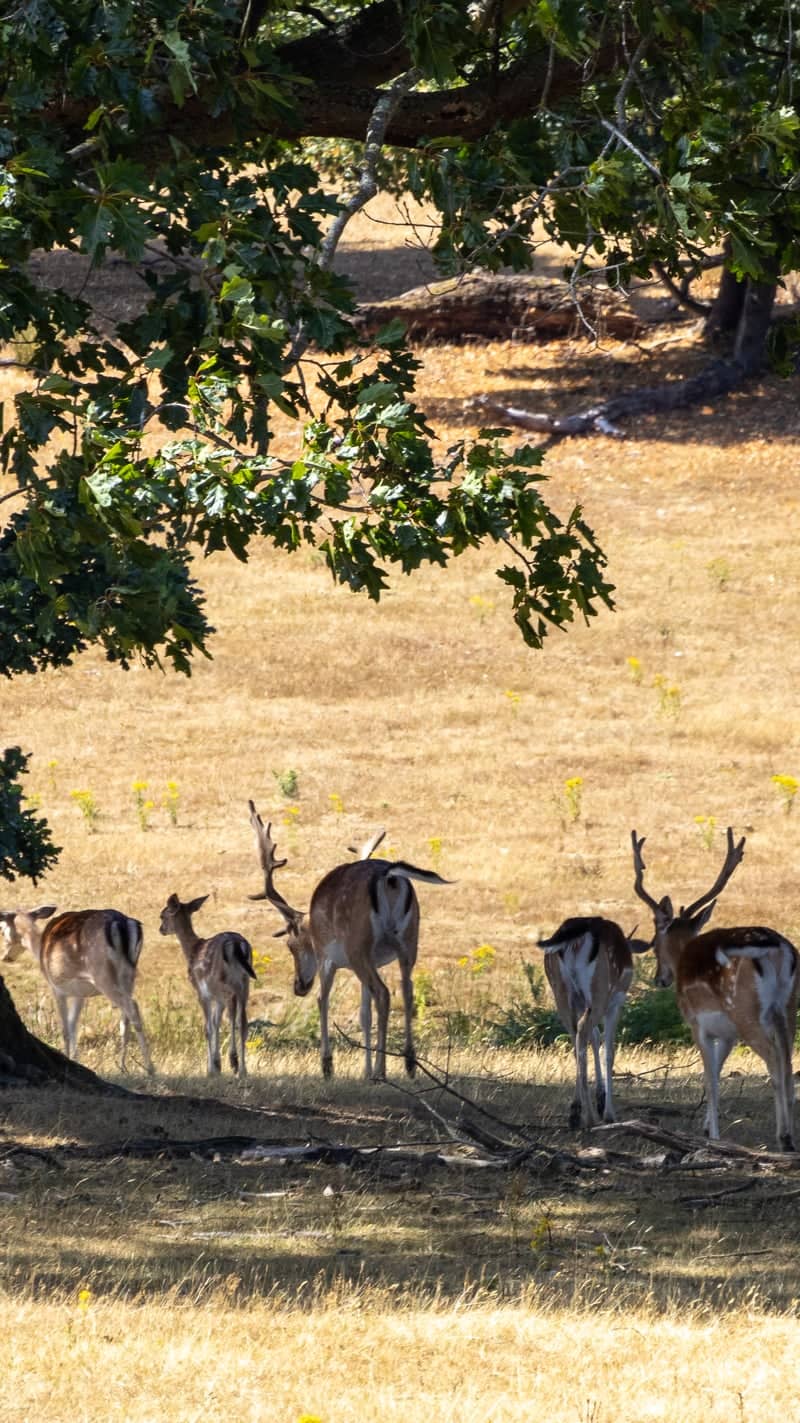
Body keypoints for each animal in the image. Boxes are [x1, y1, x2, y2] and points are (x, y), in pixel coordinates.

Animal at [0, 905, 154, 1074]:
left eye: (2, 931)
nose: (5, 957)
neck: (39, 947)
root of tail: (122, 923)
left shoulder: (56, 988)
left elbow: (66, 1029)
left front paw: (68, 1060)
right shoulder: (80, 993)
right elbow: (73, 1023)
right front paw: (75, 1059)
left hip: (102, 975)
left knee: (133, 1008)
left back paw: (149, 1068)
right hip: (129, 974)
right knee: (125, 1019)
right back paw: (123, 1066)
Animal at [158, 893, 256, 1077]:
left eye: (162, 915)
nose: (161, 929)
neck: (192, 950)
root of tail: (236, 944)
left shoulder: (202, 991)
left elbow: (208, 1027)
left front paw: (211, 1068)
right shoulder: (216, 997)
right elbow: (216, 1023)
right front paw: (216, 1065)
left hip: (221, 980)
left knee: (233, 1011)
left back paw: (234, 1060)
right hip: (245, 982)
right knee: (243, 1021)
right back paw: (243, 1070)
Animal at [248, 801, 448, 1081]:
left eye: (291, 946)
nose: (298, 986)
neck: (312, 924)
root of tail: (389, 877)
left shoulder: (326, 957)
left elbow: (323, 1000)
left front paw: (327, 1065)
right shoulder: (369, 962)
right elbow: (365, 1014)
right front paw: (364, 1071)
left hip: (357, 942)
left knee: (383, 993)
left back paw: (382, 1070)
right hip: (408, 941)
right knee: (406, 991)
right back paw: (408, 1063)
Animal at [538, 916, 650, 1129]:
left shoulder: (582, 1004)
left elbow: (595, 1038)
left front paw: (599, 1099)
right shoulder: (616, 1000)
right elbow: (609, 1051)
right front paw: (608, 1112)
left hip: (560, 992)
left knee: (576, 1039)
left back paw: (575, 1113)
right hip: (600, 989)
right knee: (582, 1033)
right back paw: (590, 1117)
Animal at [631, 826, 798, 1151]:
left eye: (654, 945)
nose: (660, 979)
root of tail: (776, 950)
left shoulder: (697, 1023)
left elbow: (709, 1077)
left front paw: (713, 1136)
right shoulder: (727, 1033)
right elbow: (718, 1071)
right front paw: (707, 1127)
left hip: (745, 1010)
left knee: (774, 1060)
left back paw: (784, 1137)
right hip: (788, 1005)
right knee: (787, 1061)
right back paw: (790, 1137)